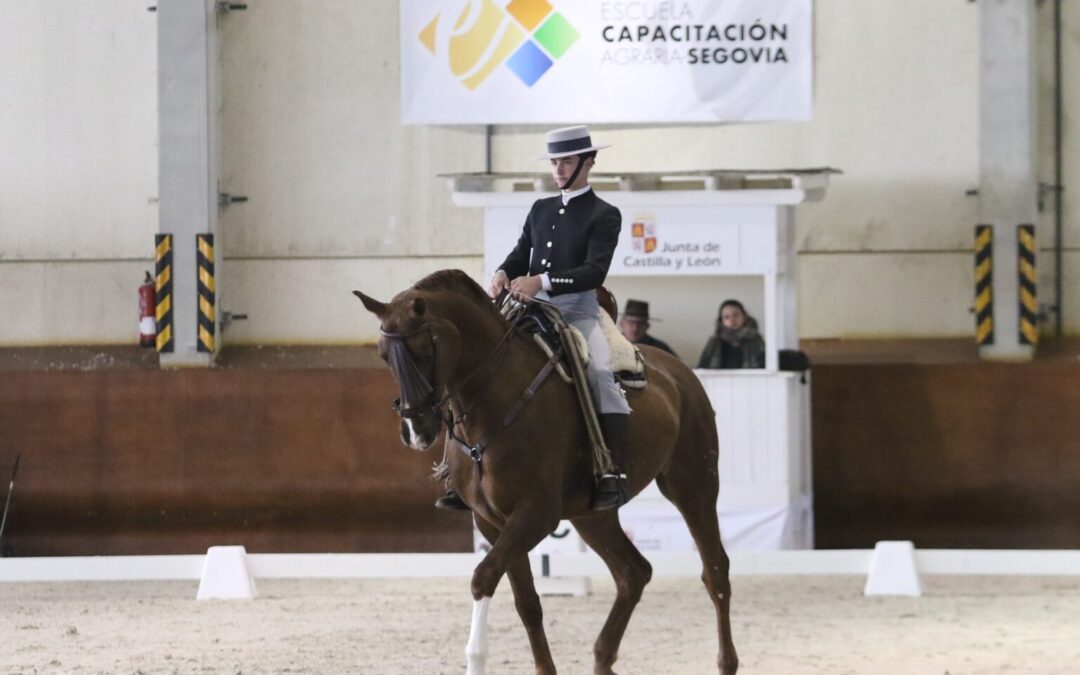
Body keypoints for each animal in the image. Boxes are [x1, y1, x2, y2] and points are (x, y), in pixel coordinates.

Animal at [354, 269, 738, 675]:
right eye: (383, 355)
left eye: (425, 349)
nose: (416, 431)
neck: (495, 399)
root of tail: (679, 372)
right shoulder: (492, 521)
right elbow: (527, 603)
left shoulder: (534, 514)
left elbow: (483, 578)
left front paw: (476, 656)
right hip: (592, 515)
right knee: (633, 573)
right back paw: (603, 658)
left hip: (693, 485)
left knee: (715, 571)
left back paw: (726, 662)